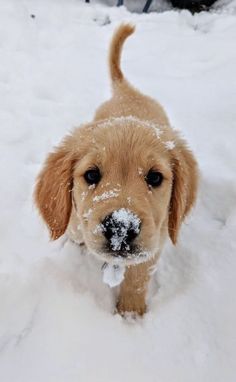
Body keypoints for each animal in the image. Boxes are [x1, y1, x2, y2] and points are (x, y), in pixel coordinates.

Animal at [34, 24, 198, 316]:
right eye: (91, 175)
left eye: (155, 177)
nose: (121, 227)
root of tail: (127, 90)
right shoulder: (75, 222)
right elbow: (74, 231)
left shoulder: (155, 239)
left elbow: (138, 276)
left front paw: (131, 313)